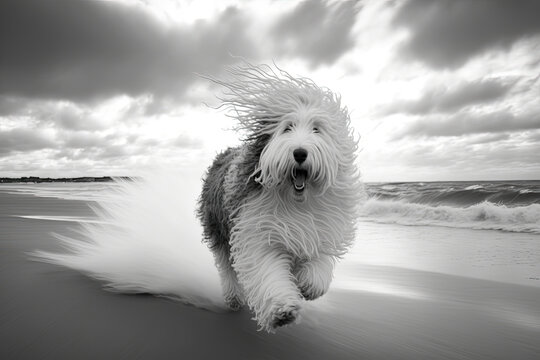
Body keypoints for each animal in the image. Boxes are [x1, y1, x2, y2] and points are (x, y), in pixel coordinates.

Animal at [198, 62, 362, 332]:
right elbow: (268, 269)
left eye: (316, 129)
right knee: (227, 267)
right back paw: (234, 298)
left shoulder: (320, 228)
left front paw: (309, 284)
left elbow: (319, 263)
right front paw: (281, 309)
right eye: (287, 127)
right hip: (218, 229)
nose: (300, 153)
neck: (296, 200)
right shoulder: (258, 232)